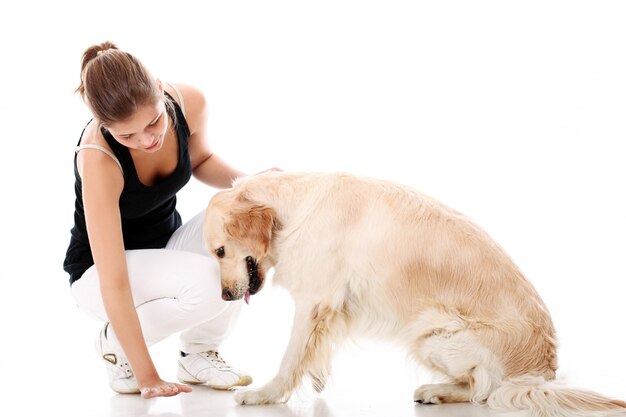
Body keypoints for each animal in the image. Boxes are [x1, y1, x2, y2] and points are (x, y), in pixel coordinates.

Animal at [204, 171, 624, 414]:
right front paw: (318, 375)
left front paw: (265, 395)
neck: (294, 206)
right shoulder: (327, 305)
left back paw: (437, 390)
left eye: (220, 251)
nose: (223, 296)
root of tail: (541, 375)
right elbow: (314, 346)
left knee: (484, 390)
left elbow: (291, 356)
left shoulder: (315, 298)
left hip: (430, 330)